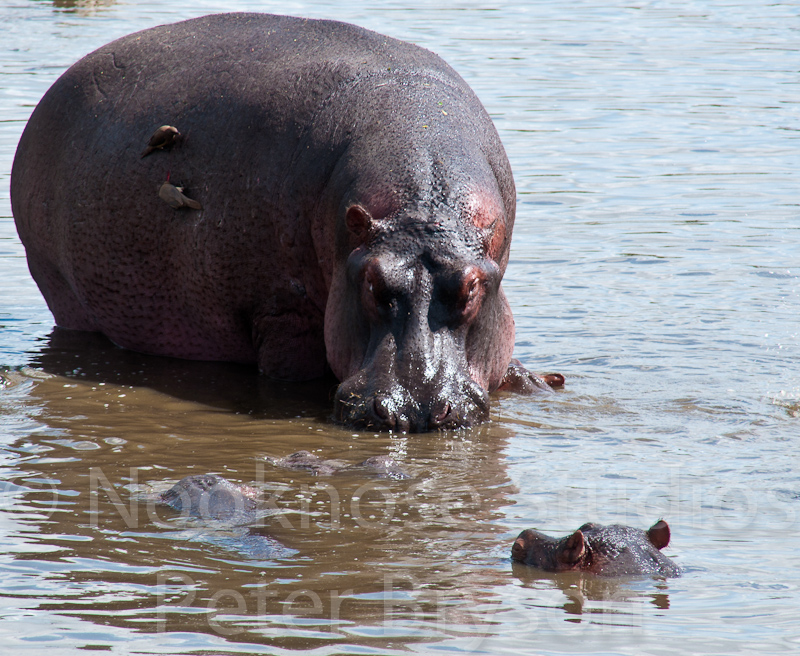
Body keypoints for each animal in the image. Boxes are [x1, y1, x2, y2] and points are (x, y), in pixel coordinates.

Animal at [11, 12, 562, 432]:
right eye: (370, 282)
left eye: (471, 287)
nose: (414, 409)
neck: (422, 211)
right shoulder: (281, 313)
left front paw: (535, 380)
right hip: (63, 292)